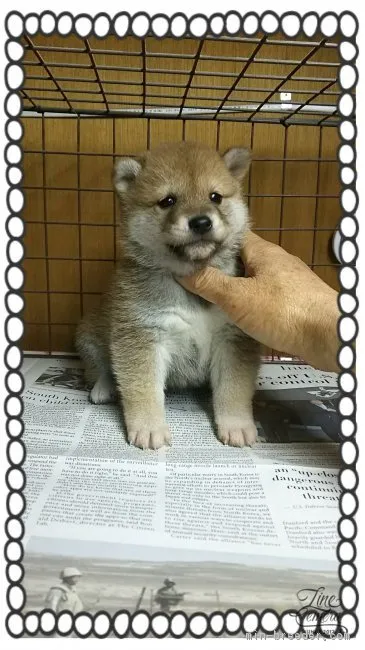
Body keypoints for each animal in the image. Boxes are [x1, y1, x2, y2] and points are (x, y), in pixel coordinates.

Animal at [77, 140, 258, 448]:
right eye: (168, 201)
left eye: (215, 197)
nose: (201, 222)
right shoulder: (142, 334)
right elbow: (143, 388)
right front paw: (149, 428)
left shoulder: (233, 337)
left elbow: (233, 388)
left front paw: (236, 425)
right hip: (89, 334)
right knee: (100, 367)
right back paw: (103, 388)